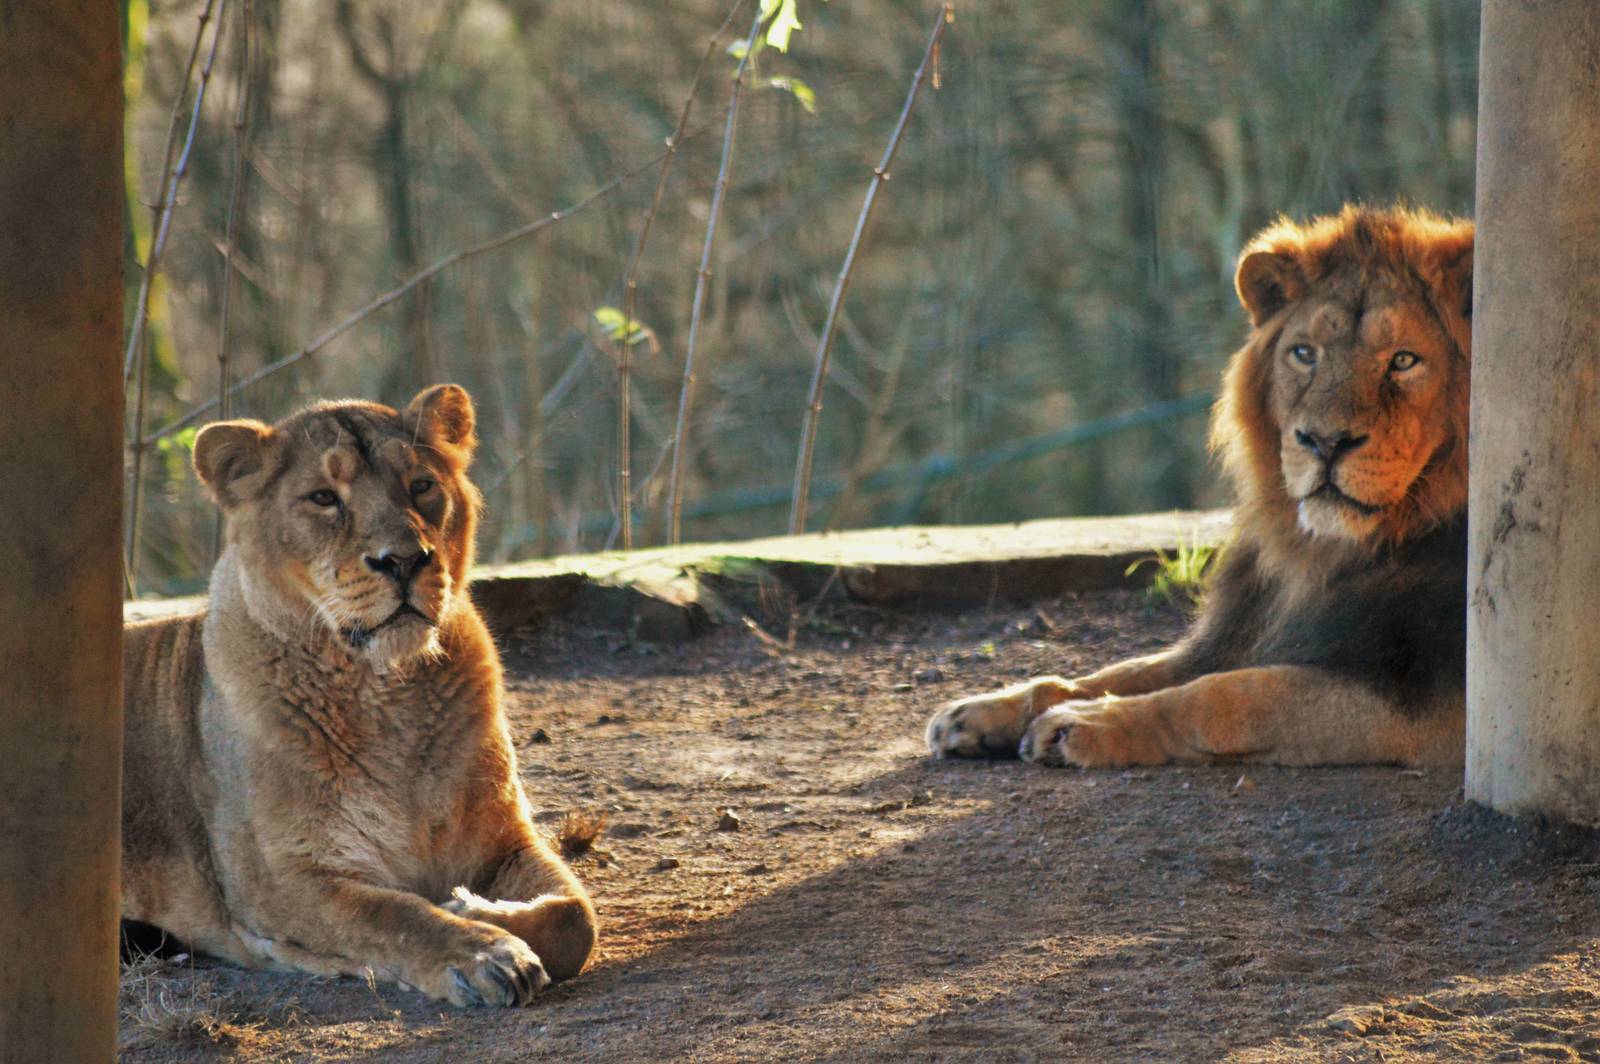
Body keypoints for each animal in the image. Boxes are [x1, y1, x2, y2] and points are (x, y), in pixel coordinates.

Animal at [121, 385, 595, 1007]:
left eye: (420, 485)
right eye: (324, 498)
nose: (405, 560)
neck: (389, 694)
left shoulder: (504, 837)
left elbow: (575, 918)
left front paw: (475, 906)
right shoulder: (280, 884)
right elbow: (397, 915)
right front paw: (485, 951)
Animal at [926, 206, 1474, 769]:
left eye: (1404, 361)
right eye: (1304, 354)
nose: (1324, 442)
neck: (1327, 553)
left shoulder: (1438, 708)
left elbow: (1229, 694)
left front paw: (1084, 724)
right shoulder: (1235, 636)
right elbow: (1122, 671)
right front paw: (984, 710)